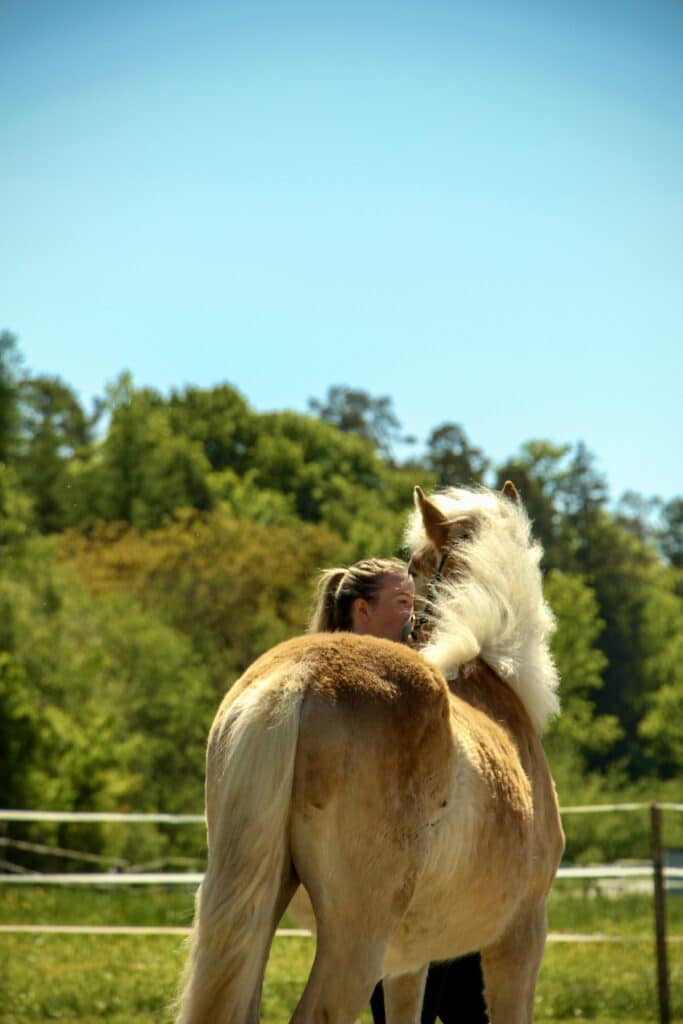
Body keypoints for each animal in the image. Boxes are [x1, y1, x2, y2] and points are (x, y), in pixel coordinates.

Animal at [175, 482, 565, 1024]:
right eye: (415, 570)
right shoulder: (520, 936)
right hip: (358, 937)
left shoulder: (408, 963)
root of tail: (301, 675)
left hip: (254, 912)